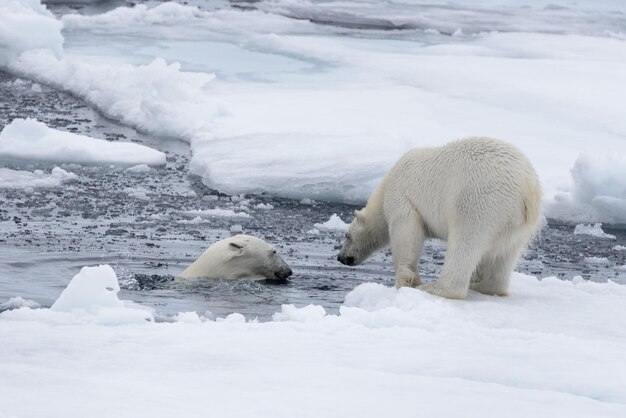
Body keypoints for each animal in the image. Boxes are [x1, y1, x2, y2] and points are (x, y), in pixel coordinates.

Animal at [336, 139, 540, 298]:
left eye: (347, 235)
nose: (341, 257)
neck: (385, 186)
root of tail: (527, 188)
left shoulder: (401, 197)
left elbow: (406, 232)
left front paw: (406, 280)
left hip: (479, 202)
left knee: (465, 242)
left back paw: (436, 288)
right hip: (520, 226)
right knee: (506, 255)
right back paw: (484, 286)